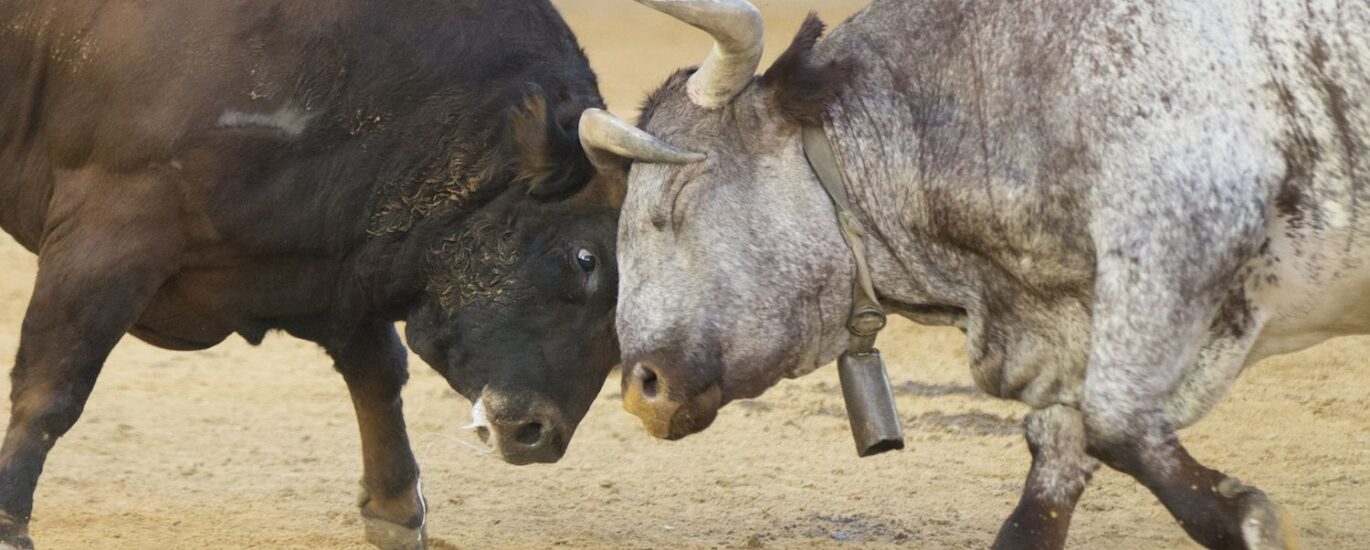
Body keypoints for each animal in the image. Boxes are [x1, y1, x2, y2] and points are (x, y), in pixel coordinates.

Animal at [0, 1, 624, 549]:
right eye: (586, 259)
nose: (540, 436)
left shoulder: (344, 266)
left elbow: (377, 374)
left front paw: (396, 508)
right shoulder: (107, 235)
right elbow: (51, 388)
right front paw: (10, 522)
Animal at [578, 0, 1369, 548]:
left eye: (679, 195)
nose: (641, 388)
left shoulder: (1188, 233)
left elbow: (1114, 420)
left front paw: (1249, 516)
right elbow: (1056, 461)